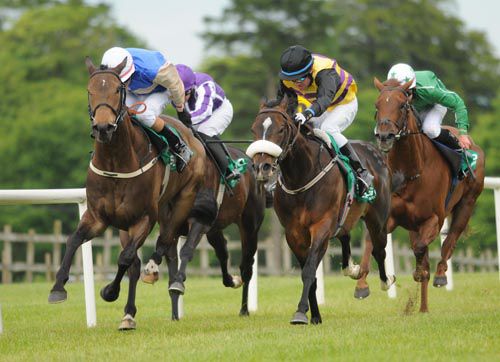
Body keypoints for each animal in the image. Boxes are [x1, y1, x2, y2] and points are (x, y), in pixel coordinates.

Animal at [46, 56, 204, 330]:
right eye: (90, 91)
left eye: (117, 90)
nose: (103, 127)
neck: (115, 163)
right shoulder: (98, 217)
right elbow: (74, 240)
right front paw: (58, 287)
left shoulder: (144, 218)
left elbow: (125, 258)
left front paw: (109, 291)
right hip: (133, 221)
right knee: (139, 261)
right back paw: (129, 313)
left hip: (181, 200)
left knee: (164, 242)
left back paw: (155, 277)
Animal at [142, 144, 266, 320]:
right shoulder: (169, 230)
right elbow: (172, 265)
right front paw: (174, 315)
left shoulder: (199, 222)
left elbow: (186, 251)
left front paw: (178, 284)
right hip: (214, 230)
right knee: (223, 252)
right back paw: (232, 281)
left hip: (249, 226)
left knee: (246, 265)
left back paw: (244, 310)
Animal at [246, 98, 394, 326]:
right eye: (254, 128)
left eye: (281, 129)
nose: (262, 167)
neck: (302, 176)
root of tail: (374, 151)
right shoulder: (293, 233)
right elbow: (310, 274)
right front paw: (314, 315)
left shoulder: (322, 227)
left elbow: (309, 270)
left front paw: (300, 312)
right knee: (345, 235)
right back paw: (350, 268)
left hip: (377, 219)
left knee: (379, 249)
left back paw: (385, 282)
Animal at [372, 78, 484, 312]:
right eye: (377, 106)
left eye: (402, 105)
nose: (384, 136)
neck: (410, 173)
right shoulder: (393, 217)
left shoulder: (434, 218)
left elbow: (422, 248)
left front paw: (421, 272)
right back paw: (422, 308)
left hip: (467, 203)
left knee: (450, 240)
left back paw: (440, 275)